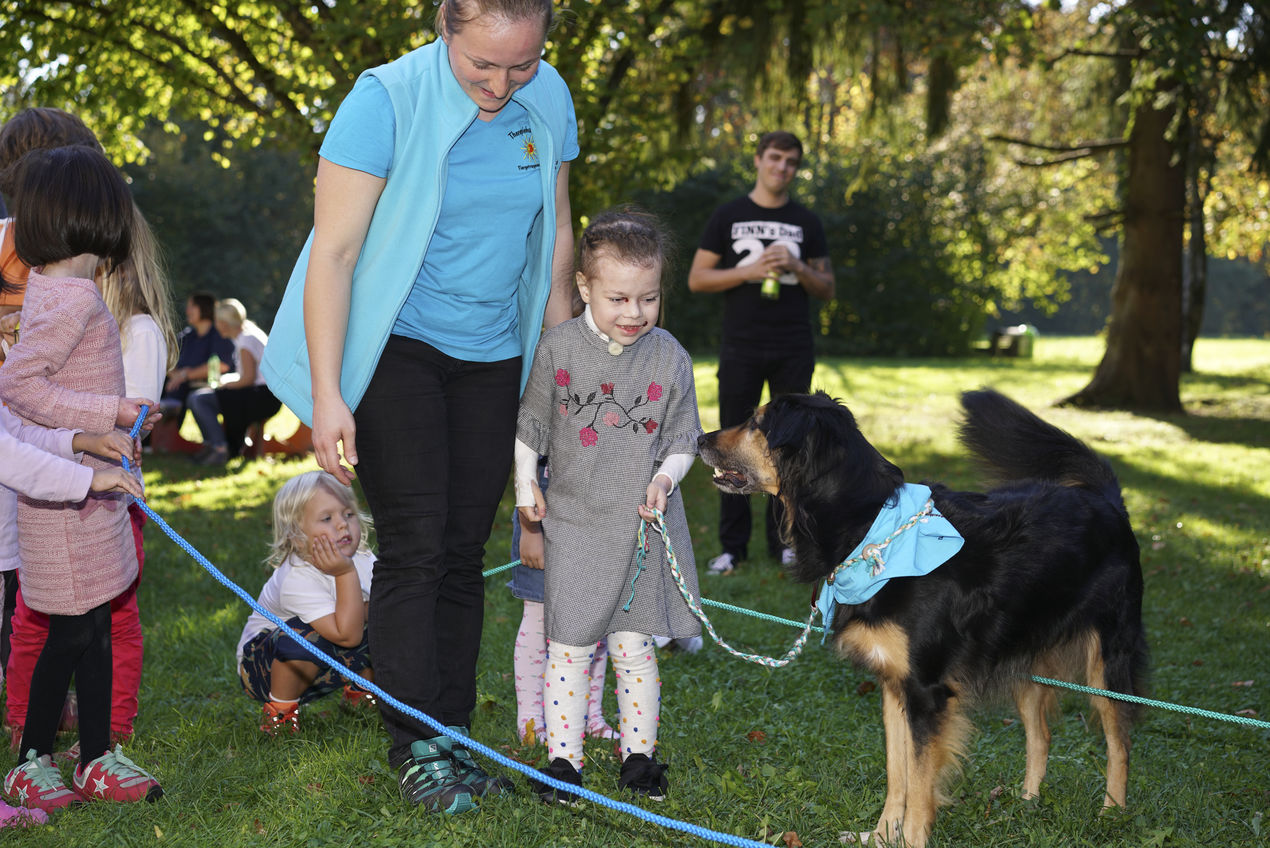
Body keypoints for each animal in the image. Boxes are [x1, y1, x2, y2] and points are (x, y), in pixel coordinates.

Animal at [695, 390, 1153, 848]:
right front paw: (881, 835)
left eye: (757, 424)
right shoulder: (894, 684)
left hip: (1107, 662)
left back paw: (1112, 813)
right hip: (1024, 659)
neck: (869, 528)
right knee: (1041, 735)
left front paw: (910, 839)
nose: (700, 438)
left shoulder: (927, 692)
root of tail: (1107, 500)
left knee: (1120, 741)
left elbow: (919, 782)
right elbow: (897, 772)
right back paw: (1026, 803)